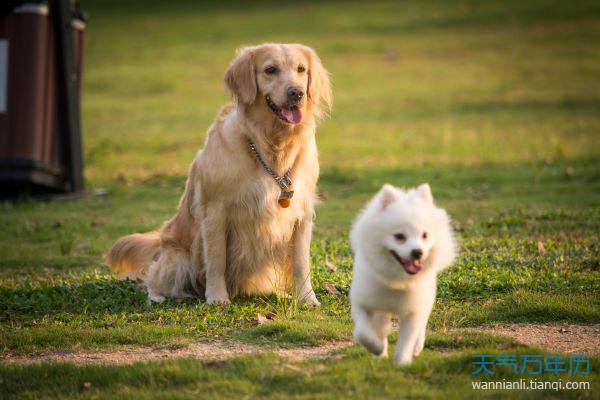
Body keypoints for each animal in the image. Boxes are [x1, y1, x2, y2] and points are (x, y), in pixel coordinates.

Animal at [350, 184, 458, 366]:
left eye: (425, 235)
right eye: (399, 236)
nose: (418, 252)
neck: (397, 281)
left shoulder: (413, 310)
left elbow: (407, 339)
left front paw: (402, 363)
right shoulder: (363, 303)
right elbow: (363, 333)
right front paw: (378, 349)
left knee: (422, 325)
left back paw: (417, 347)